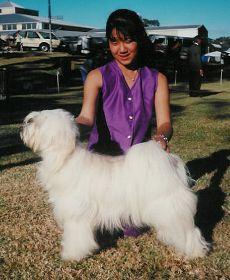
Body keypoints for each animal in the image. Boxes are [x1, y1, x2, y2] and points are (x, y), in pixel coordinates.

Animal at [20, 109, 209, 260]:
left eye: (36, 122)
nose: (22, 126)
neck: (64, 158)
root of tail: (171, 163)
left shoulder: (76, 217)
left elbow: (76, 238)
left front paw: (71, 255)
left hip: (170, 209)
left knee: (190, 232)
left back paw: (195, 252)